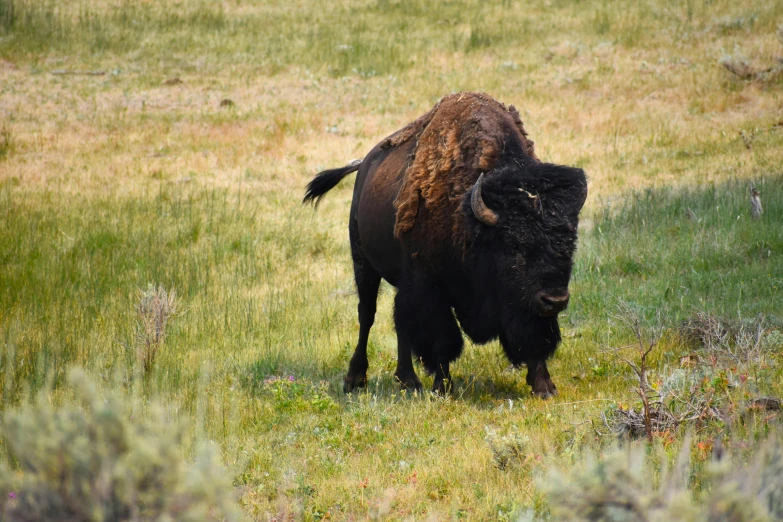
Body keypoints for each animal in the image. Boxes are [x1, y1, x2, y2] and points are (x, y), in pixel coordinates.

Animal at [304, 91, 584, 396]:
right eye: (514, 246)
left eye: (569, 243)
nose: (555, 299)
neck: (471, 221)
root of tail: (364, 166)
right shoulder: (430, 288)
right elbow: (442, 339)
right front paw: (443, 387)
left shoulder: (524, 306)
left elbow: (533, 336)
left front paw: (544, 387)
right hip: (363, 262)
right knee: (368, 315)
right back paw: (355, 379)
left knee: (399, 321)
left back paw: (408, 380)